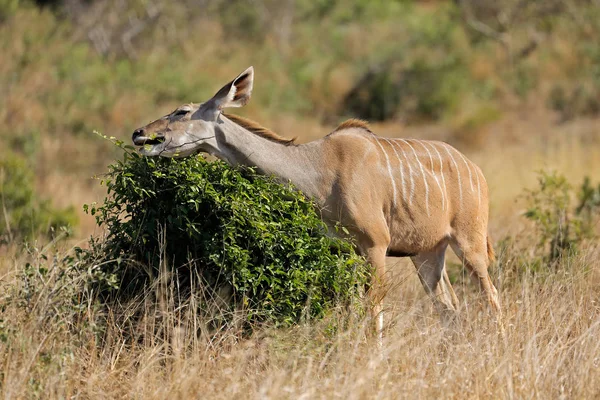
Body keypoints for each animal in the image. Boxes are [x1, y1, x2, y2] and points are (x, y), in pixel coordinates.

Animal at [132, 66, 502, 340]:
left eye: (182, 111)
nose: (139, 133)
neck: (318, 169)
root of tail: (476, 171)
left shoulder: (375, 244)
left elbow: (375, 308)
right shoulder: (344, 249)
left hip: (468, 244)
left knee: (491, 296)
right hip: (427, 254)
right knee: (450, 309)